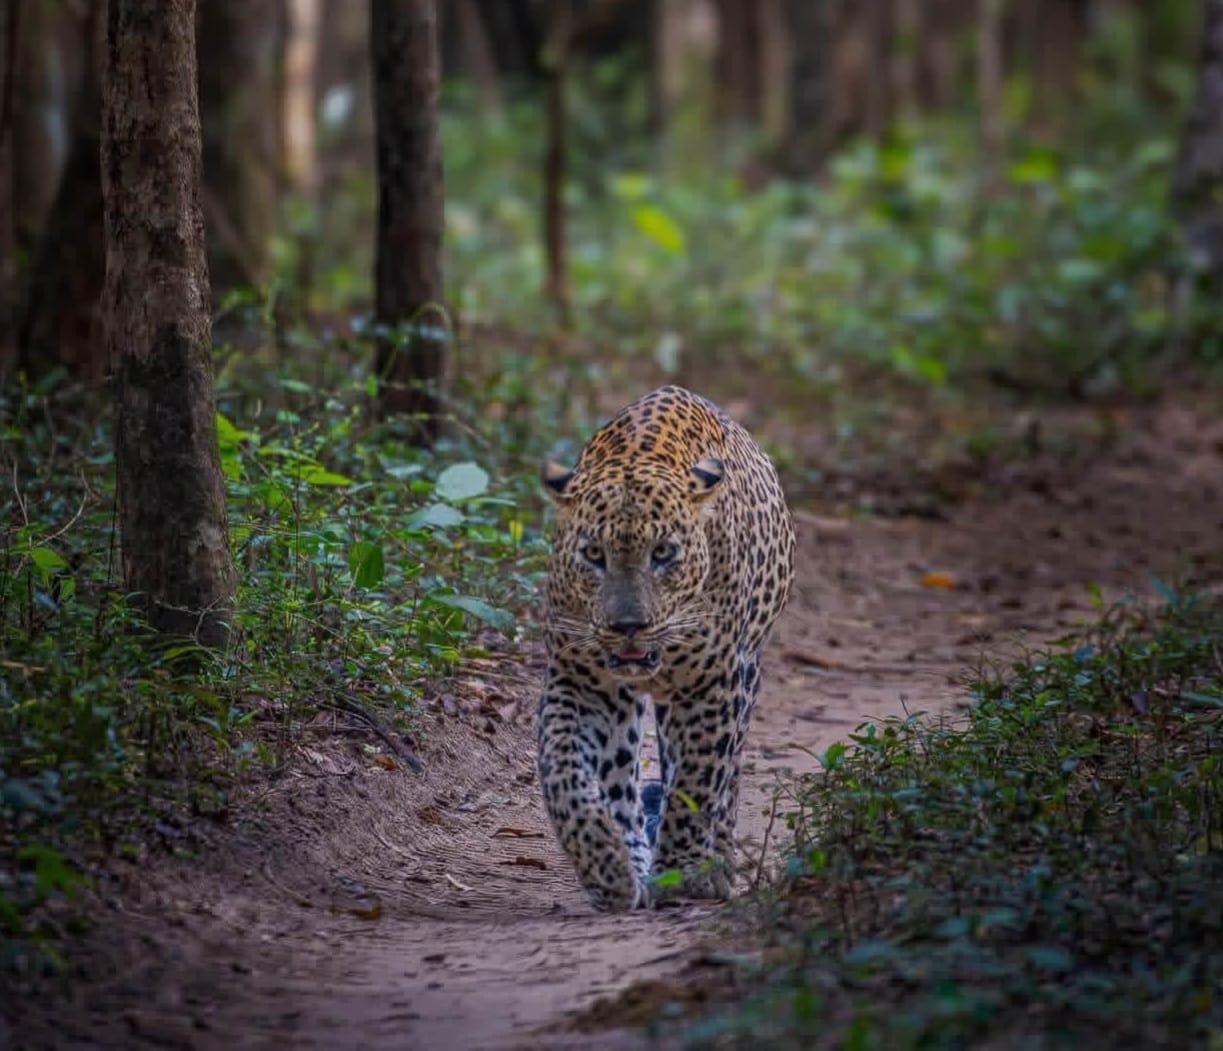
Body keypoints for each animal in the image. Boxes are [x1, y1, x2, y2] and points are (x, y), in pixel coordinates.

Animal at [536, 385, 795, 911]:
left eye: (664, 554)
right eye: (593, 555)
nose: (628, 626)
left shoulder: (711, 683)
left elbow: (697, 781)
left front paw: (681, 872)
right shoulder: (582, 679)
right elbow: (563, 768)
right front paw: (606, 866)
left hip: (746, 675)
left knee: (726, 777)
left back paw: (713, 867)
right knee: (621, 777)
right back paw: (632, 863)